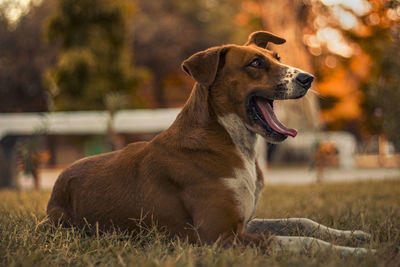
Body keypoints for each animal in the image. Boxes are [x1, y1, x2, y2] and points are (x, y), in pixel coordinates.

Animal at [48, 31, 374, 258]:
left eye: (278, 59)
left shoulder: (244, 223)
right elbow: (302, 241)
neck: (232, 143)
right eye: (256, 63)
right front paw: (354, 253)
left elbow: (303, 222)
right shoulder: (220, 237)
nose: (309, 78)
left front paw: (354, 235)